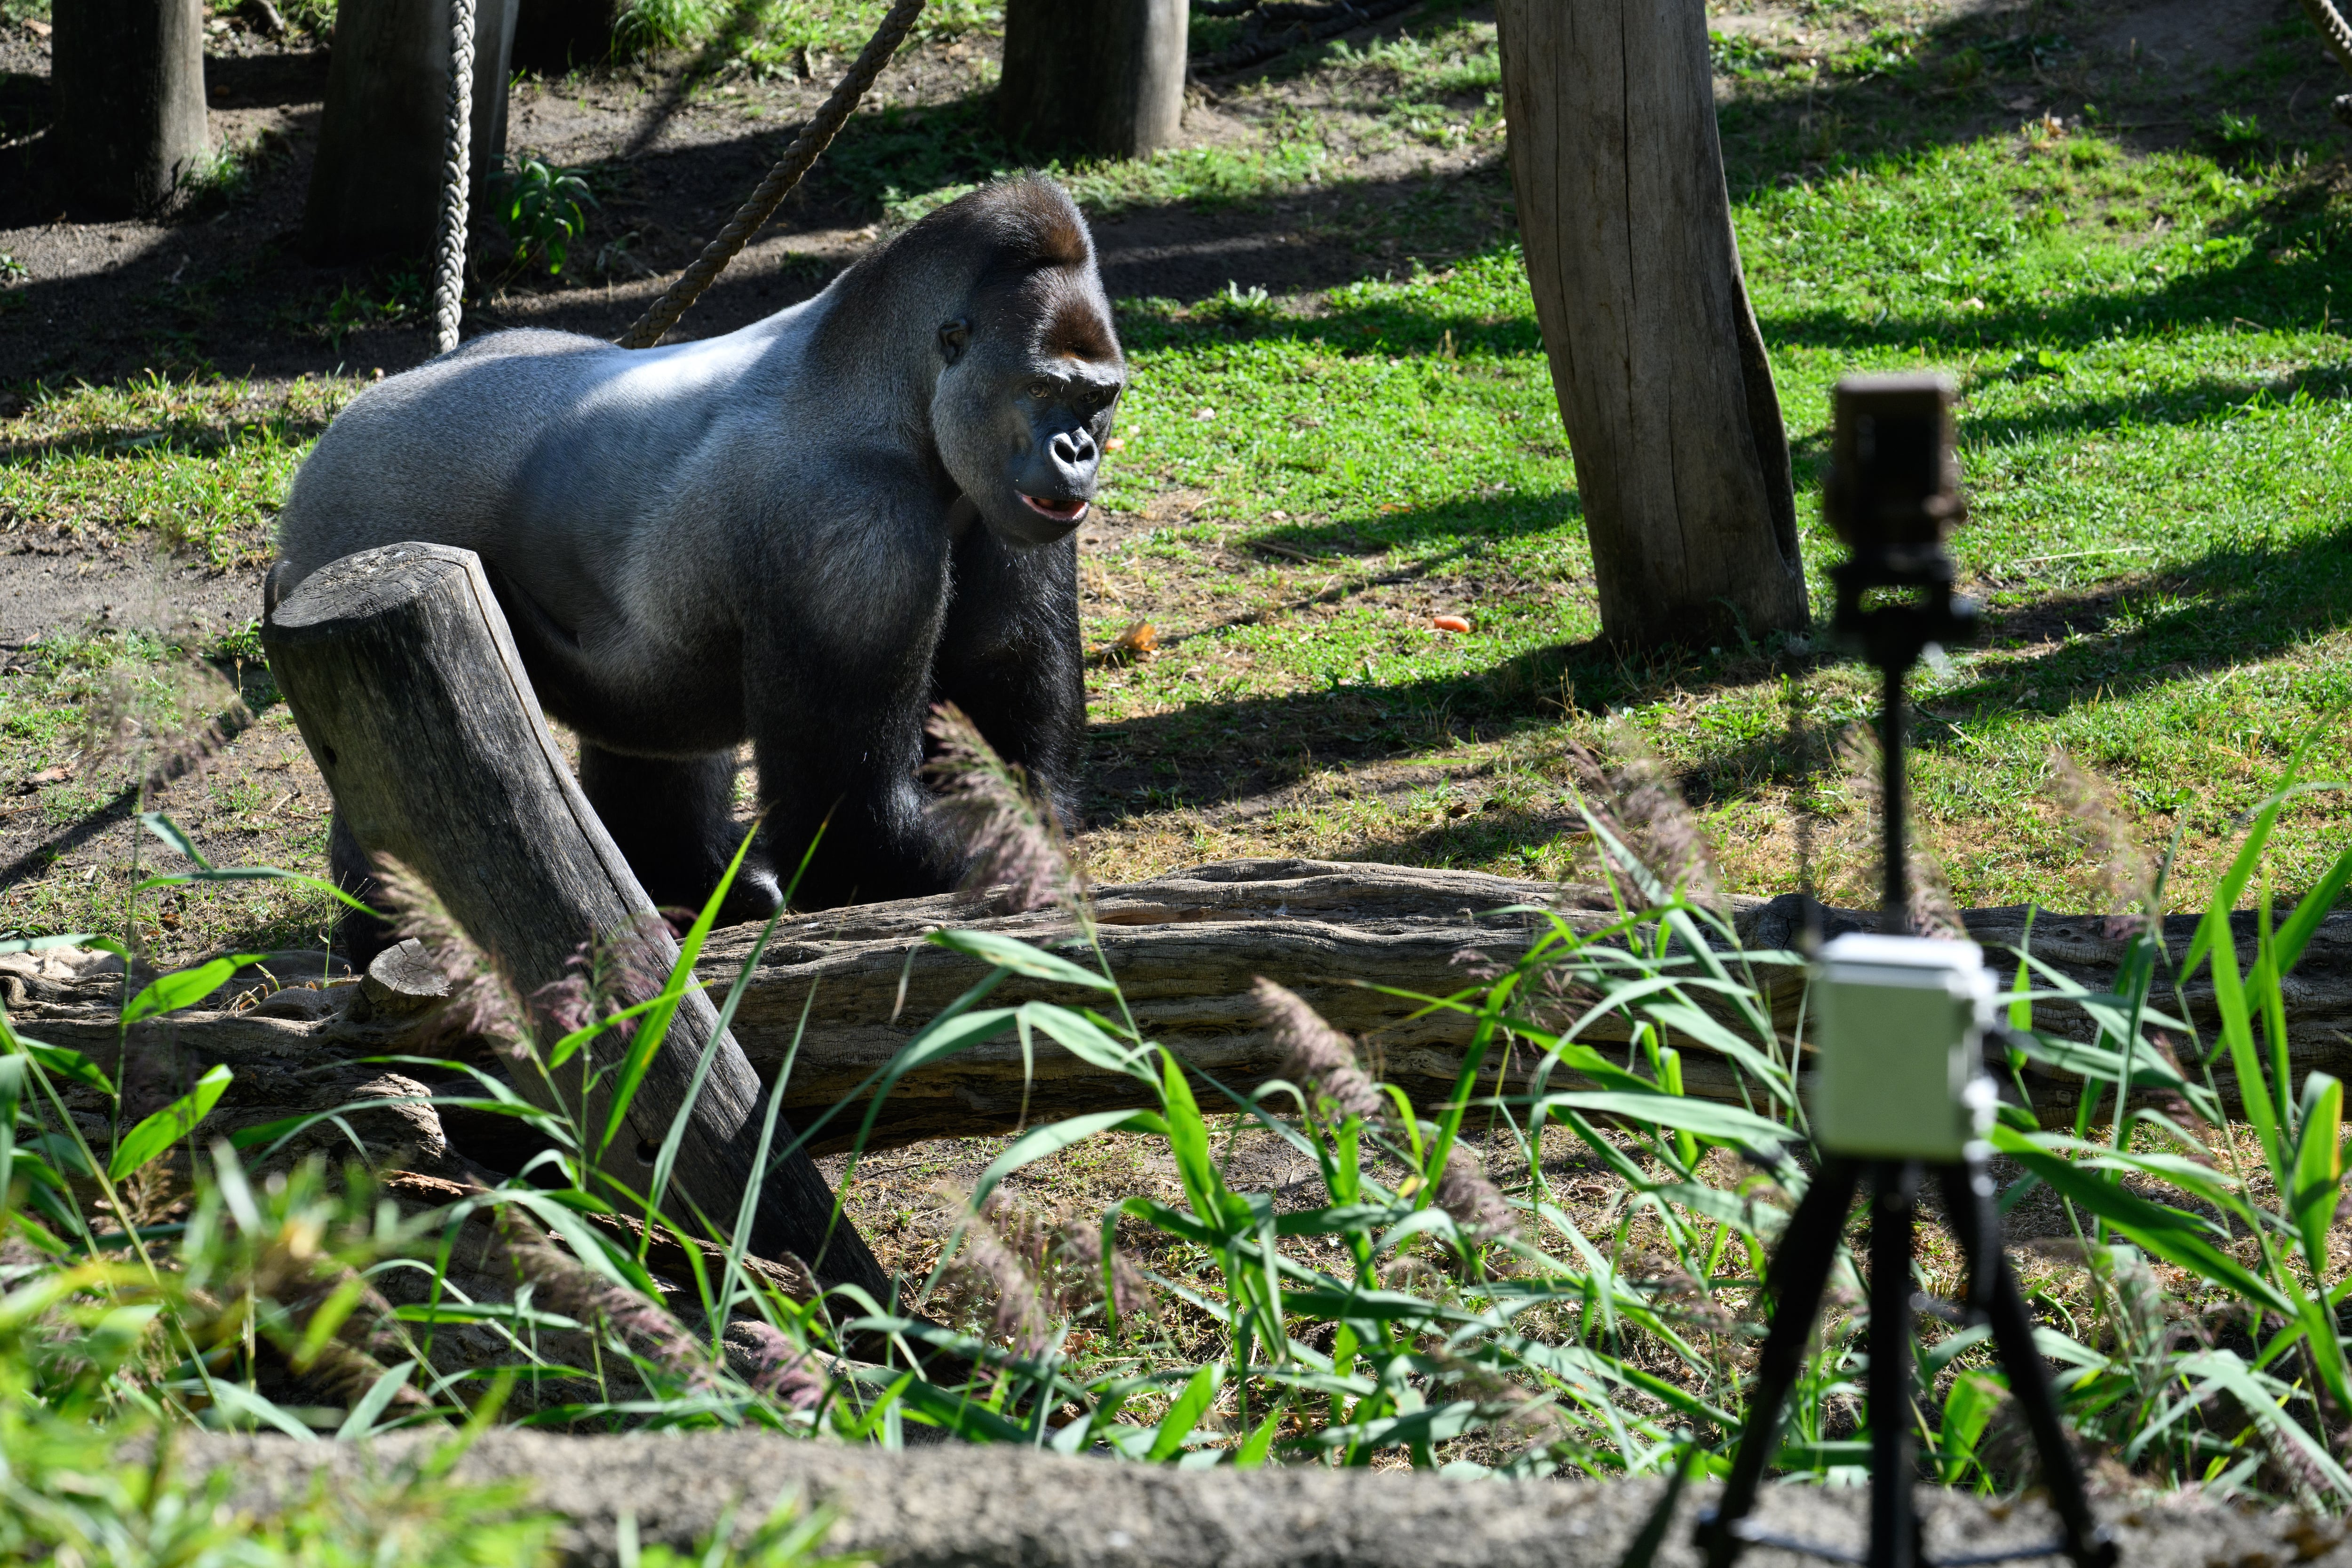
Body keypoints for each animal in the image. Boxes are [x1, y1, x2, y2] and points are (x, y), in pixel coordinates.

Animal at [275, 177, 1120, 949]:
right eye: (1042, 387)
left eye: (1098, 398)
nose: (1077, 451)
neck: (889, 383)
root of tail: (347, 421)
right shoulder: (850, 532)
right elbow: (855, 830)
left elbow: (1005, 719)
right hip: (356, 531)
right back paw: (387, 925)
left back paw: (681, 880)